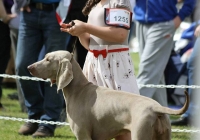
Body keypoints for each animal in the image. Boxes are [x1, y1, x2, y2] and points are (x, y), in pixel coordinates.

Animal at [27, 50, 188, 140]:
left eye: (48, 59)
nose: (29, 67)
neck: (79, 89)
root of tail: (156, 108)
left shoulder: (83, 134)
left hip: (141, 133)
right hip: (164, 135)